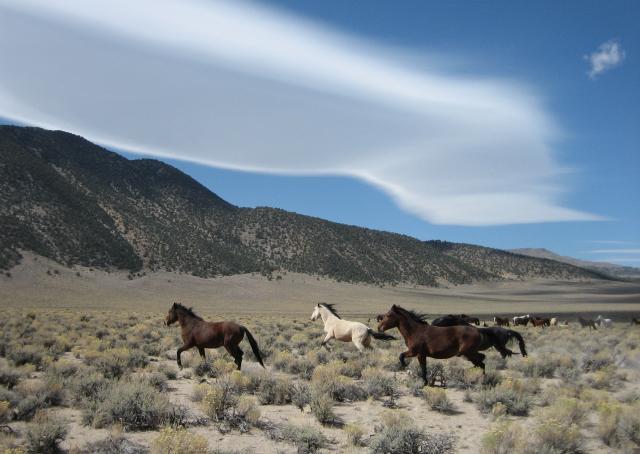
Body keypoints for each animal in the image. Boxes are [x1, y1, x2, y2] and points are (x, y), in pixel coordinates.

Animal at [378, 306, 528, 384]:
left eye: (389, 315)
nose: (379, 327)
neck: (415, 331)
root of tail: (478, 330)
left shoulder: (417, 353)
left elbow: (405, 358)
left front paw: (408, 370)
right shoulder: (421, 354)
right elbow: (420, 366)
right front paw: (424, 381)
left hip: (467, 352)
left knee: (482, 360)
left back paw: (479, 378)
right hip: (468, 353)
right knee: (481, 361)